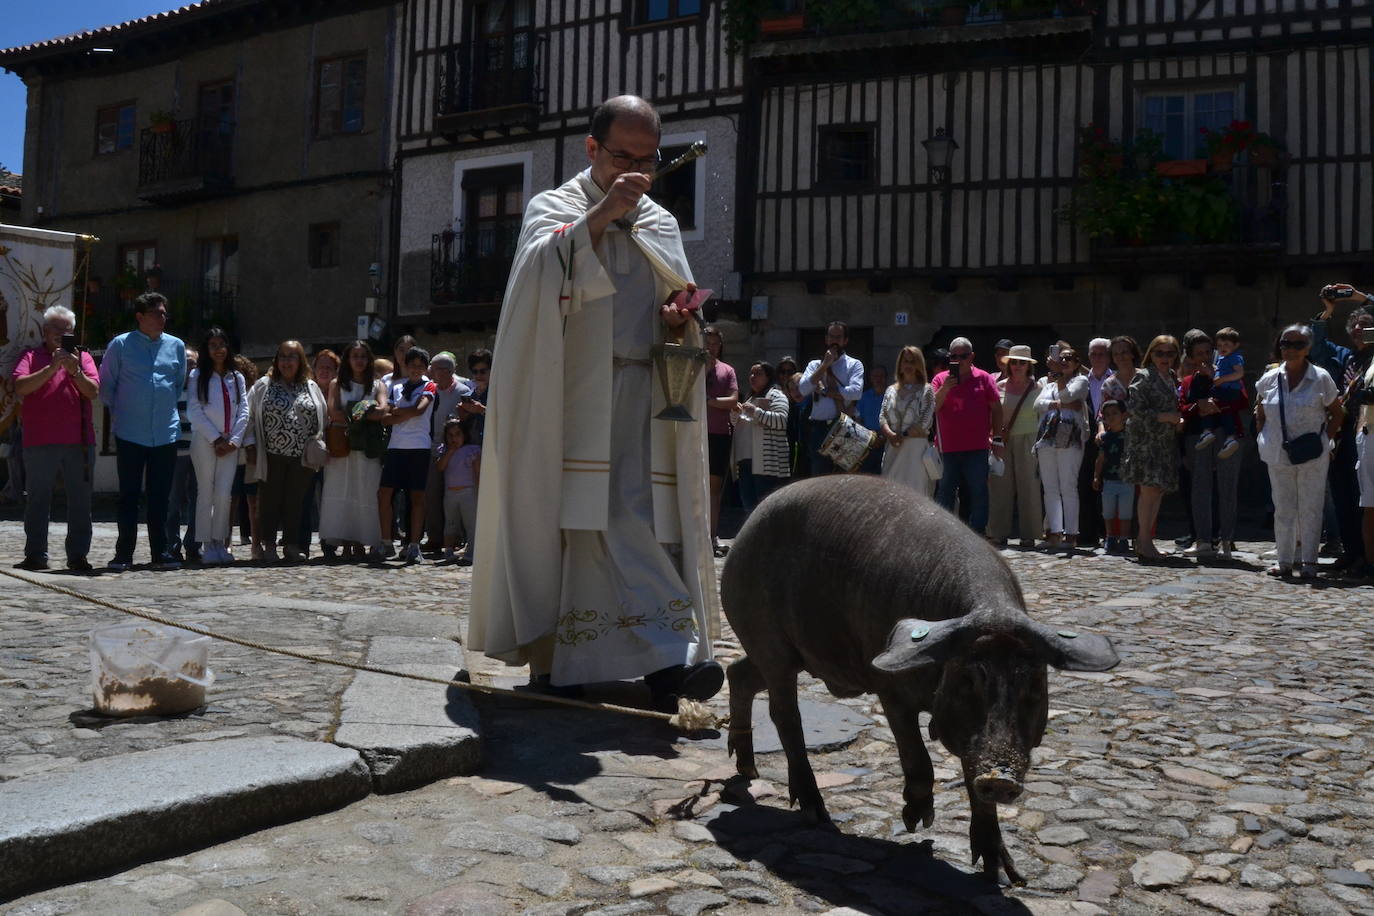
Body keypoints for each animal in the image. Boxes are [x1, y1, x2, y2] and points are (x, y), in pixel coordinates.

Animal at [719, 472, 1115, 878]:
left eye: (1033, 684)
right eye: (969, 680)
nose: (1002, 777)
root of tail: (745, 529)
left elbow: (971, 776)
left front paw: (1004, 874)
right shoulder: (889, 687)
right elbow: (918, 758)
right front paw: (917, 823)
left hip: (788, 653)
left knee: (738, 674)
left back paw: (747, 769)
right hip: (770, 641)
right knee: (784, 714)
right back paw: (816, 813)